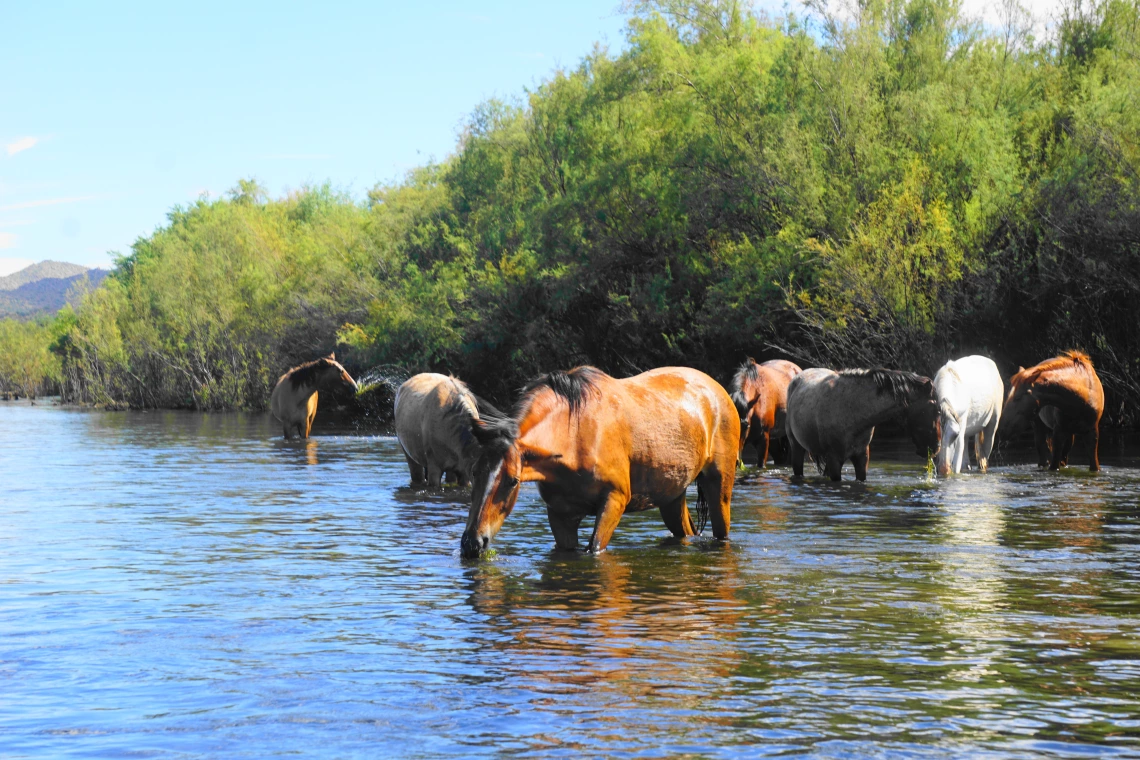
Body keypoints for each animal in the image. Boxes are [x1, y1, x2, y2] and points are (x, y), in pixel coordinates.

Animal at [458, 366, 743, 558]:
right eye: (474, 473)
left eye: (512, 480)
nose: (472, 543)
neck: (575, 434)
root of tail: (719, 392)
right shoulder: (560, 514)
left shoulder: (614, 501)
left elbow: (594, 548)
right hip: (672, 495)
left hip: (719, 487)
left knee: (721, 532)